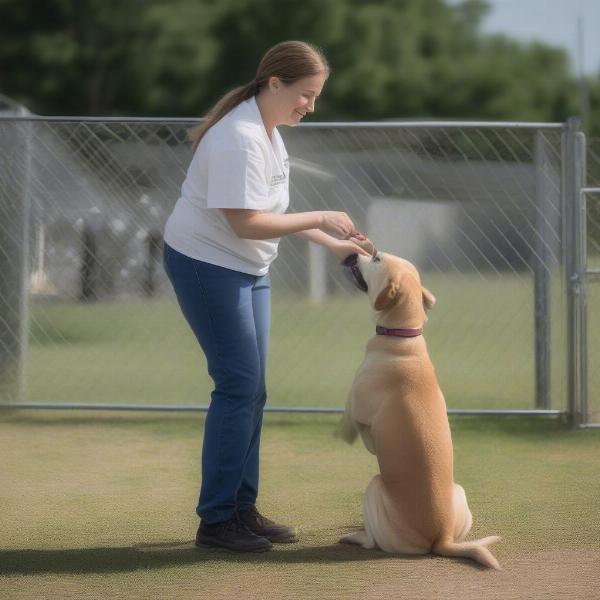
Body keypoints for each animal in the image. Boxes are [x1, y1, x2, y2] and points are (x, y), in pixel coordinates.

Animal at [338, 251, 502, 568]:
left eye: (376, 258)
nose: (352, 254)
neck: (402, 337)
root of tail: (442, 538)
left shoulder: (361, 418)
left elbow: (356, 424)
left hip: (374, 488)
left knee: (372, 541)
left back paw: (356, 536)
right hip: (459, 491)